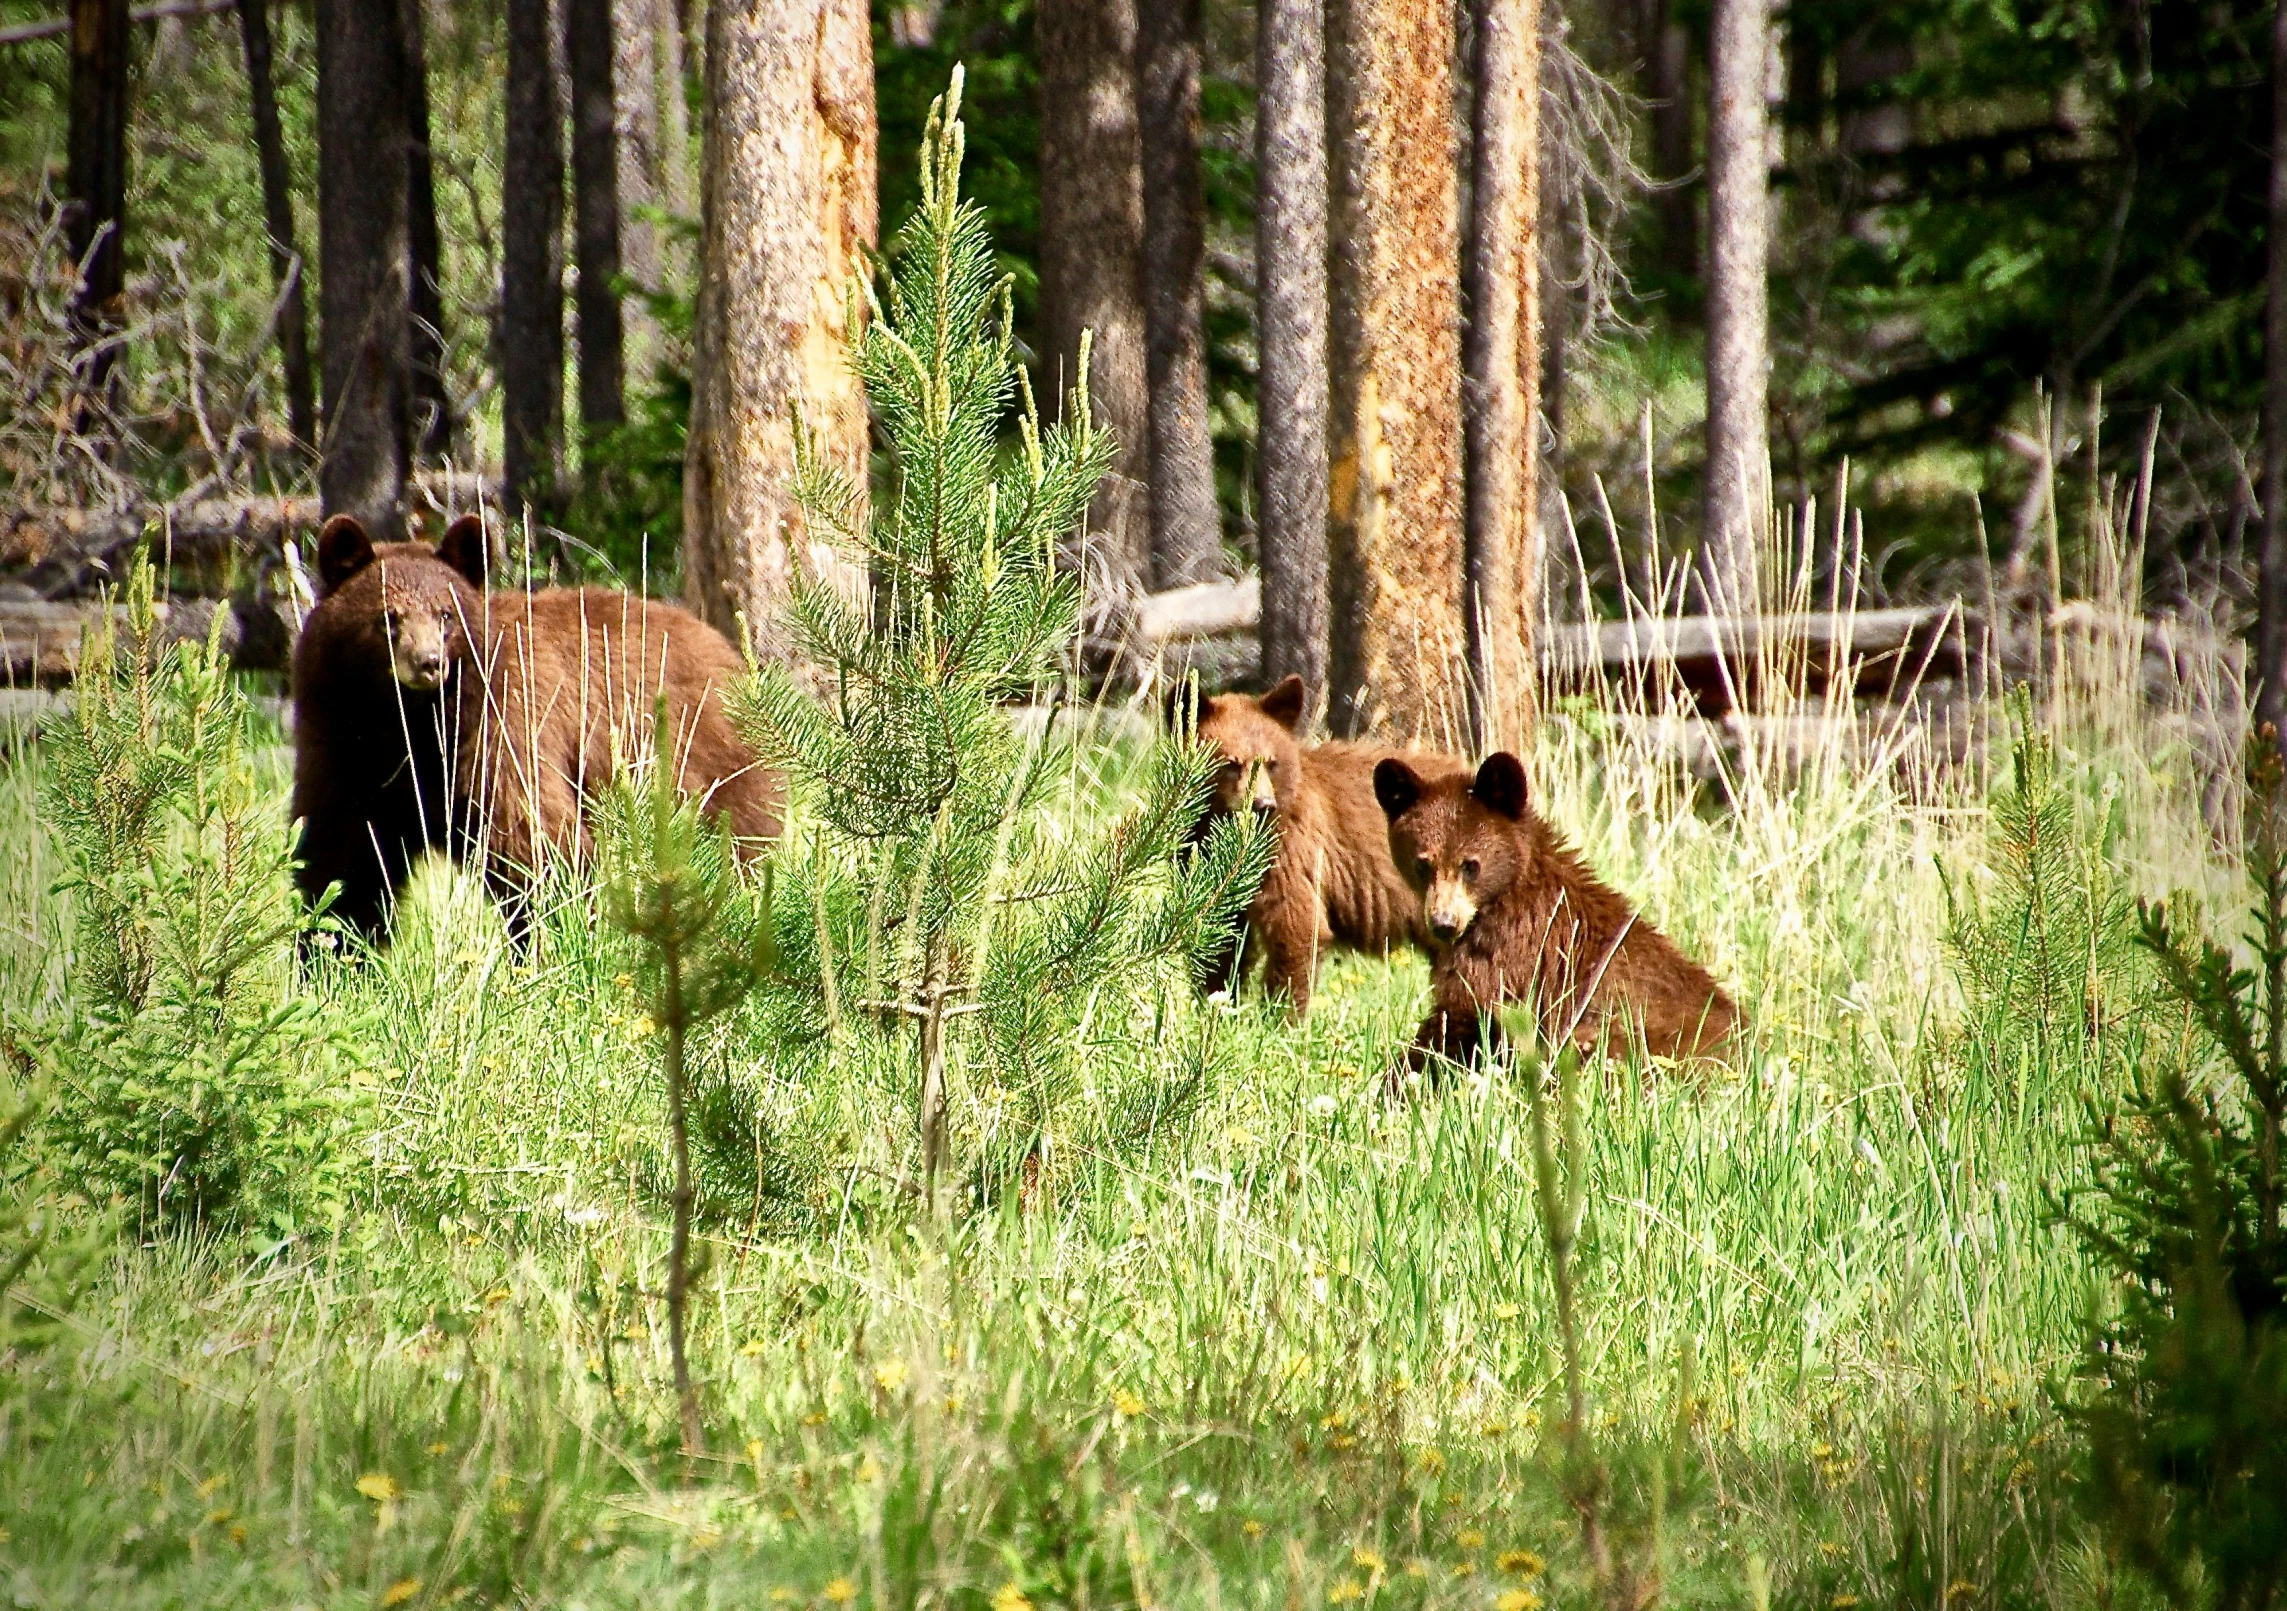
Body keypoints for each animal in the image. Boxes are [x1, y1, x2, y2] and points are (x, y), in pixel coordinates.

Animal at [295, 512, 782, 942]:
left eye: (445, 614)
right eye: (387, 617)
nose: (428, 662)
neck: (405, 723)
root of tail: (721, 645)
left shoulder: (499, 727)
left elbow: (534, 842)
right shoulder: (342, 743)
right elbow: (342, 858)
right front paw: (328, 952)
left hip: (701, 756)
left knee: (738, 840)